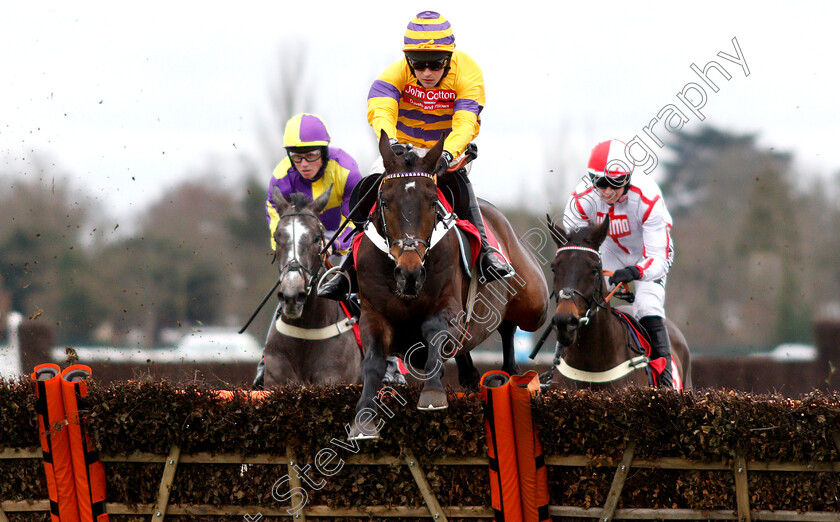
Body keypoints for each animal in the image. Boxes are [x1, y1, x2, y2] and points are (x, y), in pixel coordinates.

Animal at [350, 132, 552, 436]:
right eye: (384, 201)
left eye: (433, 202)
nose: (409, 273)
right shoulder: (373, 313)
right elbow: (373, 359)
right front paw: (363, 418)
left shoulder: (451, 307)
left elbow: (434, 330)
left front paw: (432, 393)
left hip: (534, 304)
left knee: (509, 326)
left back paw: (513, 372)